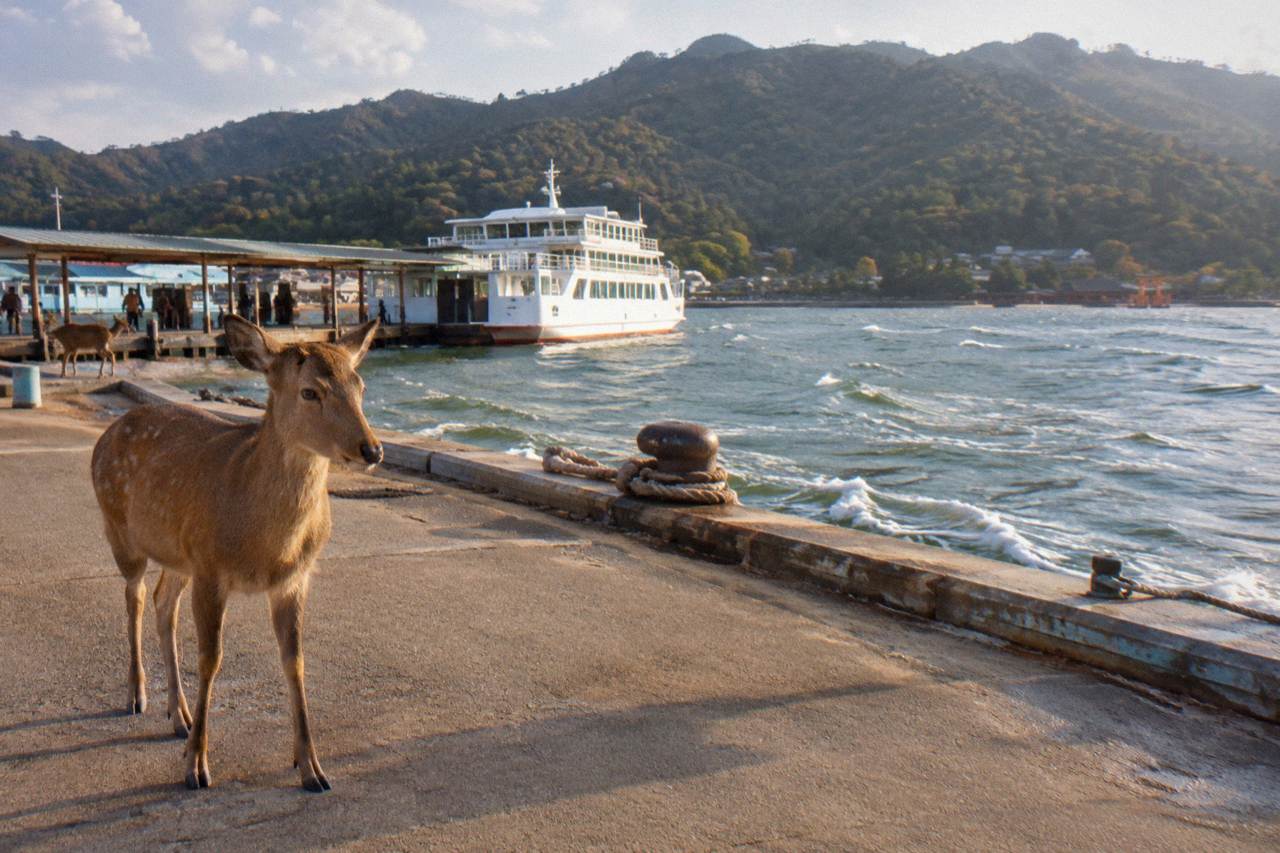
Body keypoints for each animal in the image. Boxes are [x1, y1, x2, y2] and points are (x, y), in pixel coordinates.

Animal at [90, 315, 383, 792]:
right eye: (310, 391)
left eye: (360, 385)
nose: (372, 449)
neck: (267, 545)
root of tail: (109, 432)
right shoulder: (211, 567)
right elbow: (211, 660)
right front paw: (196, 767)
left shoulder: (294, 578)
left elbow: (295, 660)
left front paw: (312, 767)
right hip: (118, 527)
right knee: (134, 597)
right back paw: (138, 695)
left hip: (179, 554)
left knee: (162, 602)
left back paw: (180, 715)